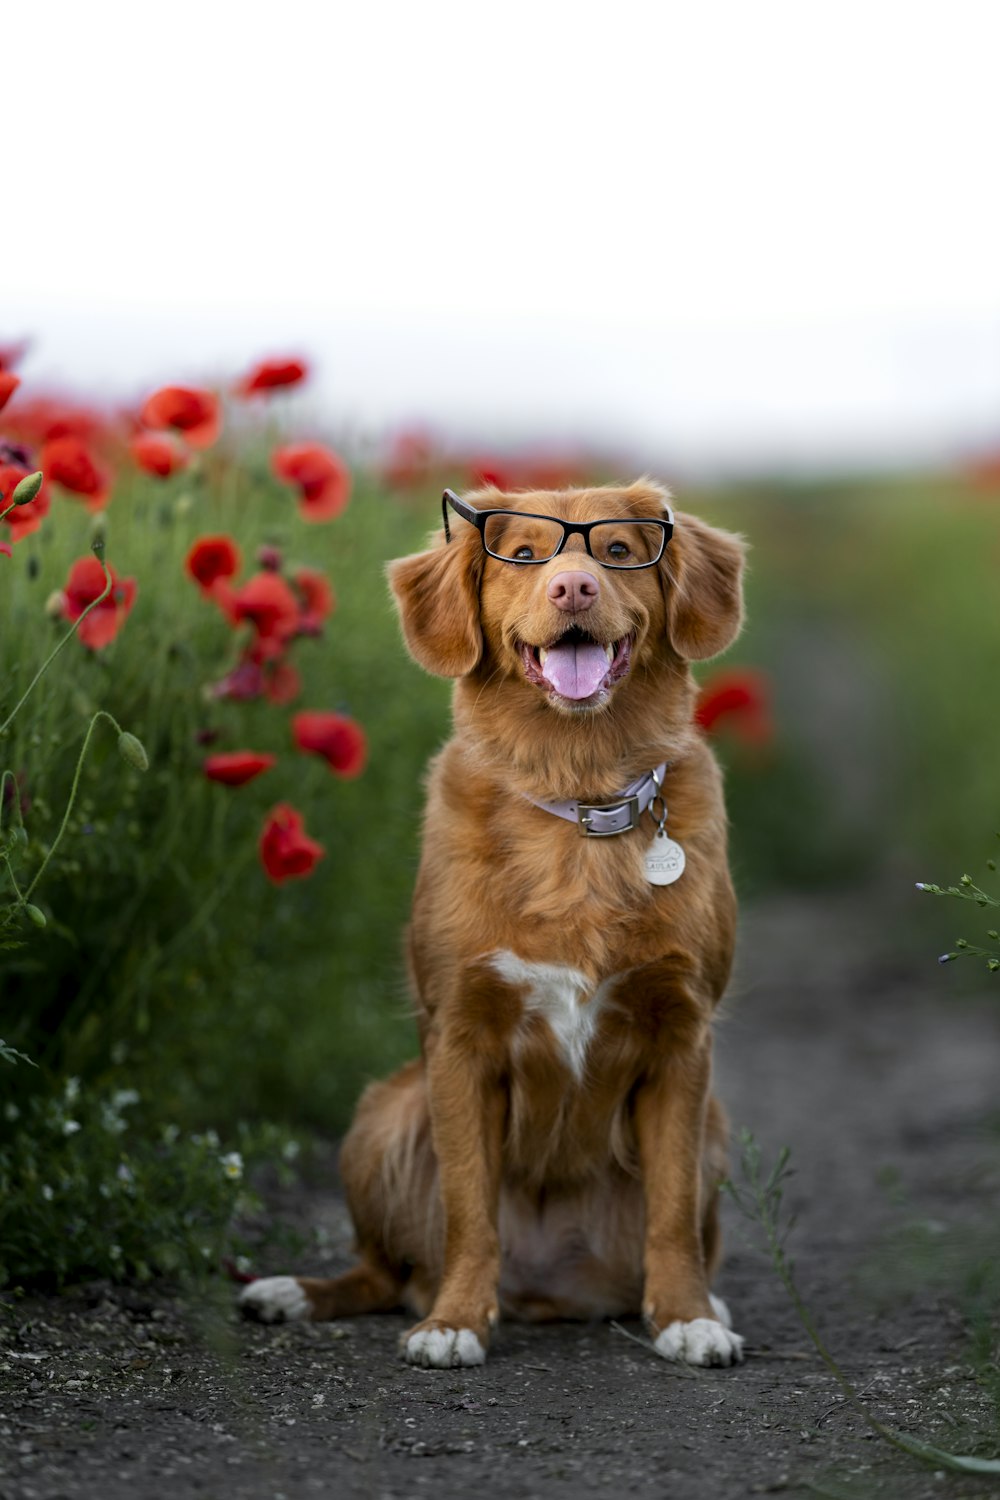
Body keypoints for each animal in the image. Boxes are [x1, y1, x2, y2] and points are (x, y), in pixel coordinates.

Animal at [239, 480, 743, 1374]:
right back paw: (296, 1293)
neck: (579, 790)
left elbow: (674, 1208)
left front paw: (687, 1316)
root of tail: (551, 1290)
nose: (572, 588)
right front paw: (456, 1322)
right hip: (383, 1115)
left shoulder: (684, 1038)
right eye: (525, 555)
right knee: (382, 1270)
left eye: (618, 552)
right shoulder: (461, 1039)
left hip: (715, 1125)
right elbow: (470, 1206)